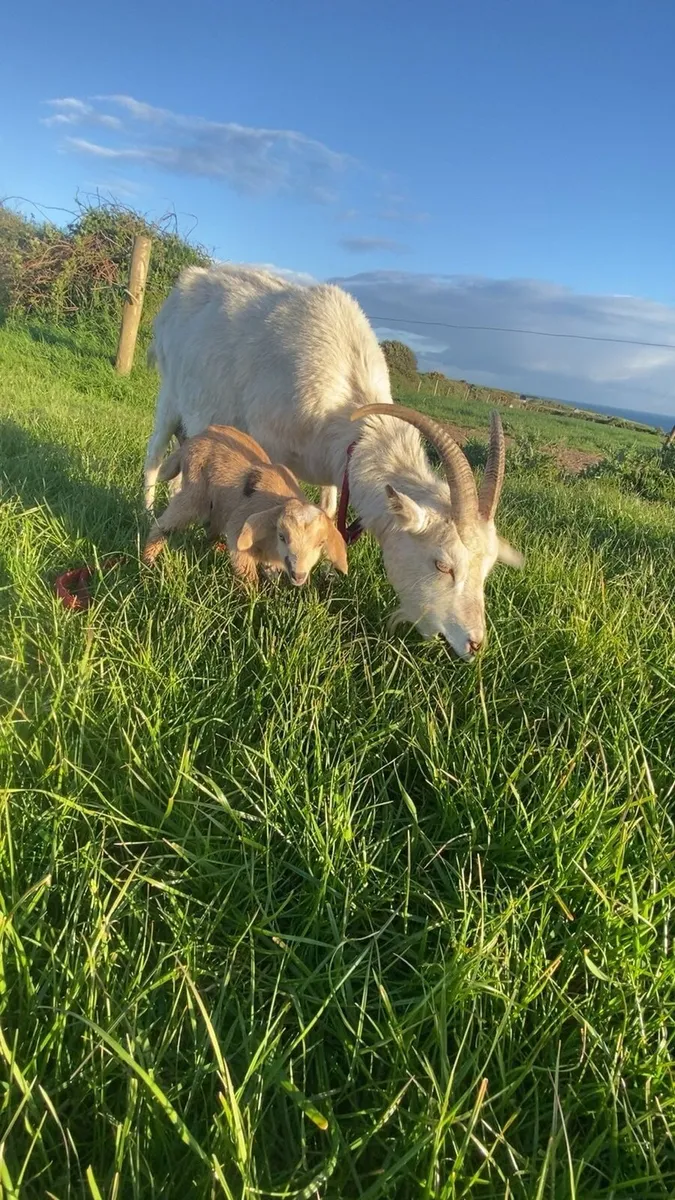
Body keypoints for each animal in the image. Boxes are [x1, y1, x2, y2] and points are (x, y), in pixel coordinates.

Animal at [142, 424, 348, 587]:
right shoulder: (239, 527)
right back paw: (148, 561)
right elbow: (247, 572)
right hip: (194, 491)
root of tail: (194, 440)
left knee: (211, 527)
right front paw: (252, 597)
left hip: (218, 505)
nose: (299, 575)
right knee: (165, 523)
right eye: (282, 536)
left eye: (321, 543)